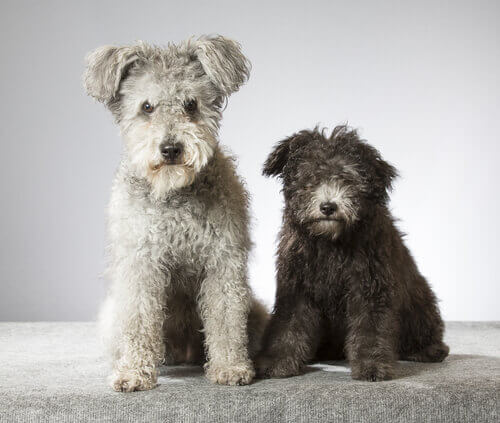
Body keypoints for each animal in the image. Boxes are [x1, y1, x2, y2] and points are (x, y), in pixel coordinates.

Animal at [84, 34, 268, 392]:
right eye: (146, 107)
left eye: (191, 104)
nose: (171, 149)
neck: (174, 197)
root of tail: (184, 351)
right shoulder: (141, 264)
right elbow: (139, 320)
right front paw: (134, 373)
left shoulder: (222, 261)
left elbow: (226, 318)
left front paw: (230, 367)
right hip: (113, 316)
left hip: (255, 311)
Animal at [258, 127, 450, 382]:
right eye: (310, 177)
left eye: (347, 178)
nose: (328, 207)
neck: (330, 243)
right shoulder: (296, 288)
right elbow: (287, 326)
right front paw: (277, 362)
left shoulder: (370, 287)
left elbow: (370, 329)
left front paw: (372, 366)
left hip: (419, 304)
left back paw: (429, 350)